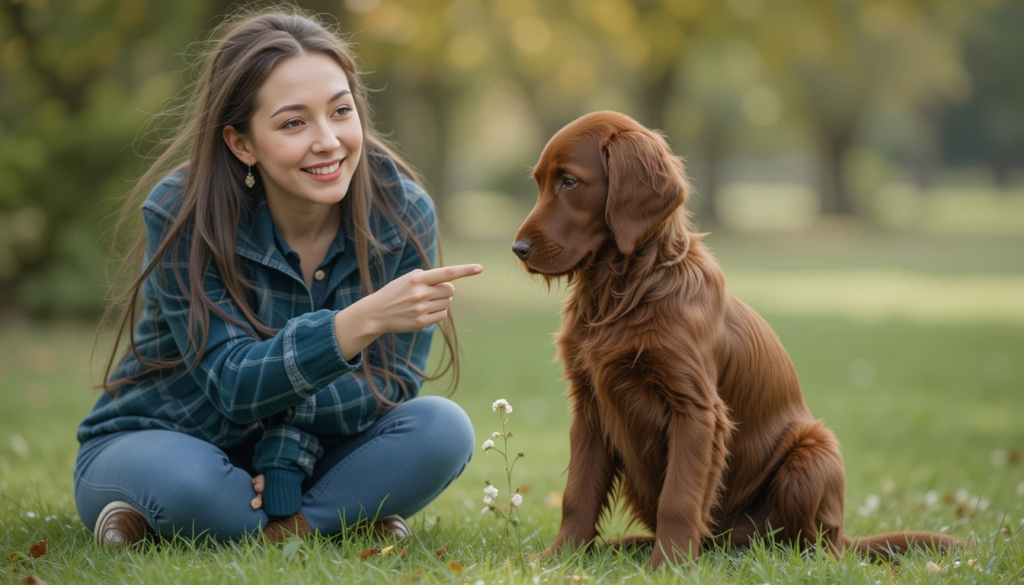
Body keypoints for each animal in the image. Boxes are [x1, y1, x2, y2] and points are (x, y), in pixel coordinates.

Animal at [512, 109, 966, 569]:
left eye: (570, 181)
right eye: (539, 182)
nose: (518, 249)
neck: (630, 291)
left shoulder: (696, 410)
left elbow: (679, 497)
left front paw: (667, 567)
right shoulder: (589, 408)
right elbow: (578, 493)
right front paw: (559, 558)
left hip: (814, 452)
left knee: (817, 546)